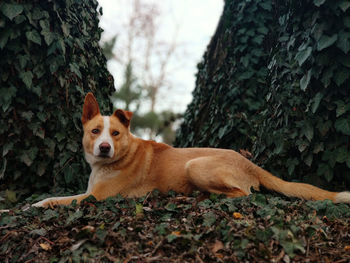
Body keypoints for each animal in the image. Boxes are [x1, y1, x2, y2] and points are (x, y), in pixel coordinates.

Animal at [32, 93, 350, 208]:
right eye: (96, 131)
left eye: (116, 133)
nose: (104, 147)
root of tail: (250, 163)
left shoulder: (94, 198)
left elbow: (58, 199)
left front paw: (36, 204)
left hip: (194, 166)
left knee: (243, 194)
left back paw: (200, 196)